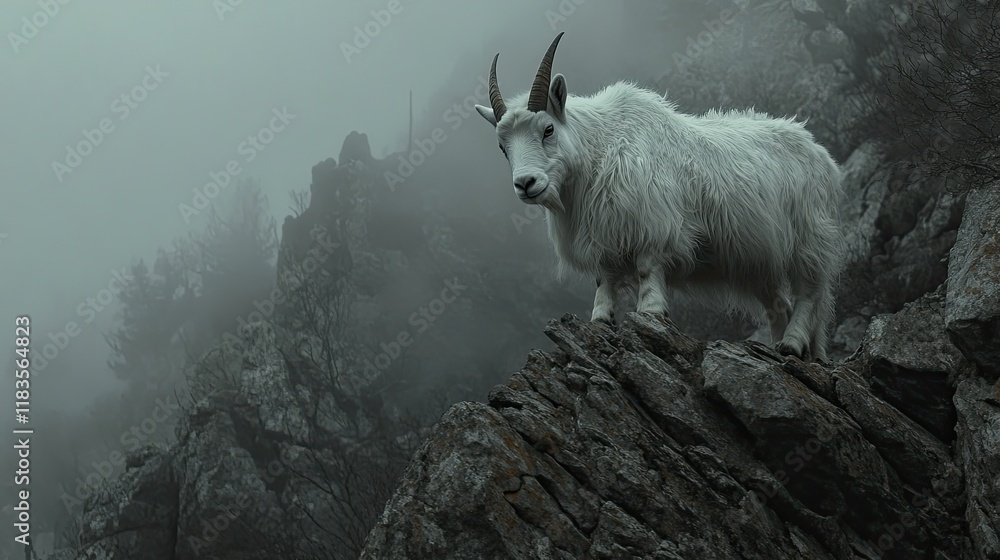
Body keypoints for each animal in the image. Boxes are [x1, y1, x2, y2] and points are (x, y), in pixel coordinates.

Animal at [474, 33, 845, 362]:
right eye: (502, 146)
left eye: (548, 129)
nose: (526, 183)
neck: (600, 149)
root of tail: (820, 153)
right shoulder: (604, 238)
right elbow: (604, 282)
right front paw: (600, 319)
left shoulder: (653, 229)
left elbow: (645, 272)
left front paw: (651, 313)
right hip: (758, 259)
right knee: (779, 305)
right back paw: (780, 346)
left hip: (808, 240)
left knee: (809, 295)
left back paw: (792, 345)